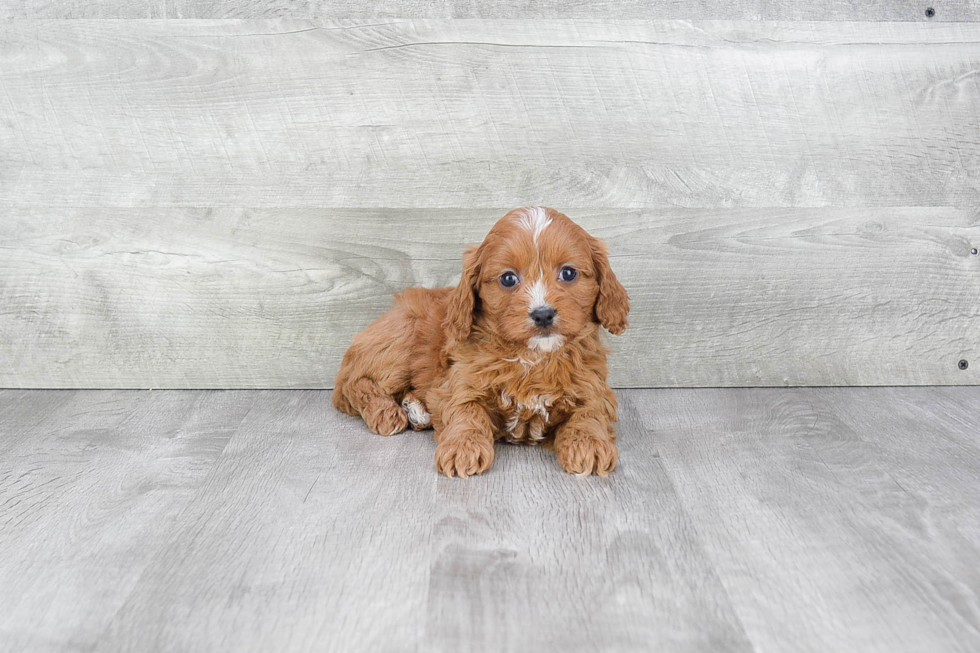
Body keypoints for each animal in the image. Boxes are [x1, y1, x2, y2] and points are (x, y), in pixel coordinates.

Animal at [334, 206, 632, 476]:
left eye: (569, 273)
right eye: (508, 278)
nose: (543, 314)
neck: (533, 356)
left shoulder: (593, 386)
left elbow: (591, 413)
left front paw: (589, 444)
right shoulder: (460, 382)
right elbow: (466, 412)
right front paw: (463, 447)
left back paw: (417, 411)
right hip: (399, 340)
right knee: (352, 384)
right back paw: (385, 411)